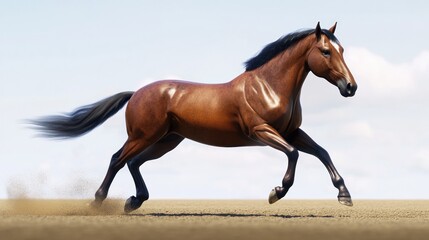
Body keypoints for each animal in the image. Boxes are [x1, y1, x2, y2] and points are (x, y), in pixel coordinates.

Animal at [31, 23, 356, 214]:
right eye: (325, 51)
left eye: (341, 49)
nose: (350, 87)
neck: (268, 86)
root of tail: (136, 93)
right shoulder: (261, 131)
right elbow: (294, 155)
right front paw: (276, 192)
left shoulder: (292, 132)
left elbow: (322, 152)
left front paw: (344, 195)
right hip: (144, 136)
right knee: (117, 159)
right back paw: (97, 201)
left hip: (167, 141)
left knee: (133, 163)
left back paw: (134, 201)